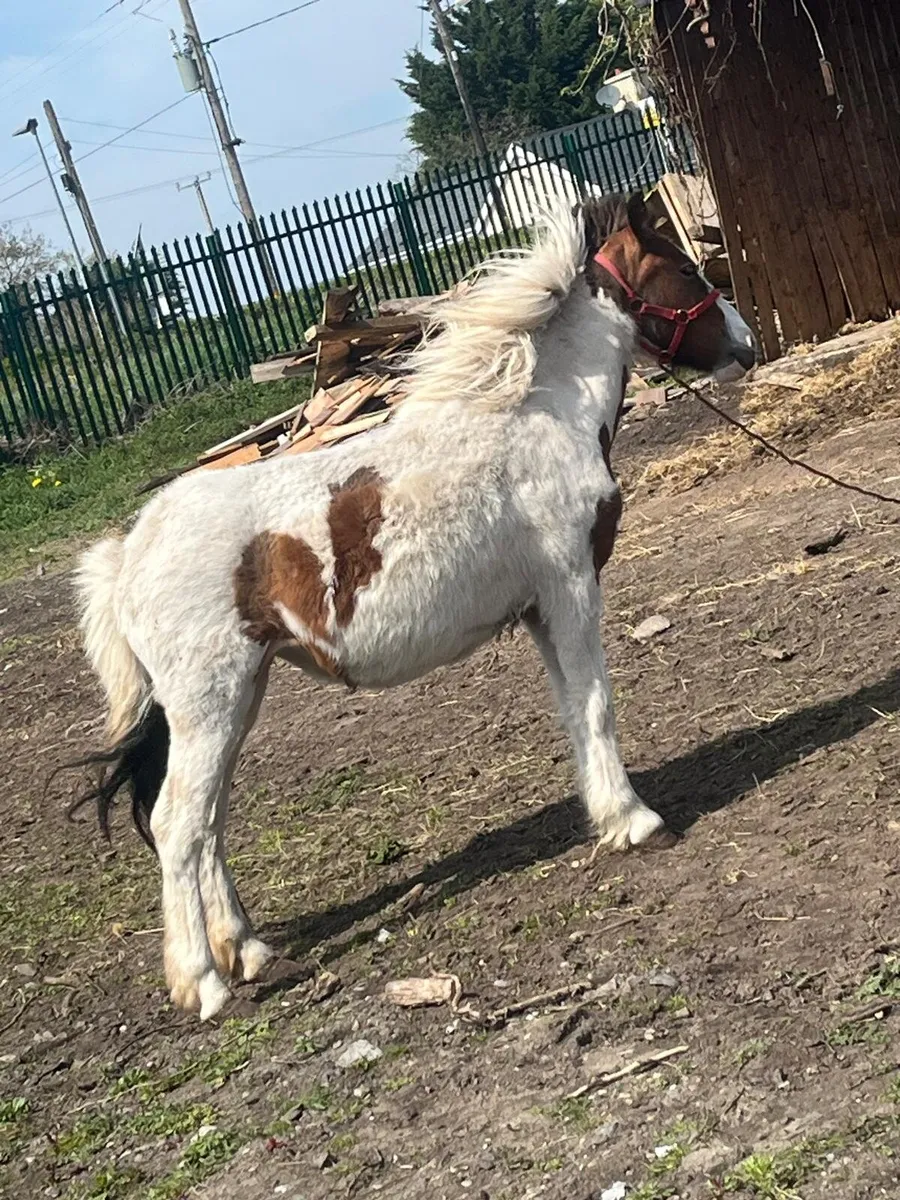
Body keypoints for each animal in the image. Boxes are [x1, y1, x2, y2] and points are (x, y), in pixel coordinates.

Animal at [73, 193, 757, 1020]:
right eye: (686, 269)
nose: (748, 344)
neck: (538, 415)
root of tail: (127, 553)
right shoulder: (571, 589)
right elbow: (596, 705)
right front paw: (635, 821)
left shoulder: (540, 610)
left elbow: (573, 709)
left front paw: (607, 815)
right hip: (209, 702)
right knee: (179, 824)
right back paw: (204, 982)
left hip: (236, 699)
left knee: (209, 821)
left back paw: (249, 949)